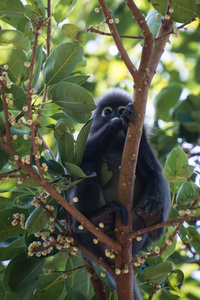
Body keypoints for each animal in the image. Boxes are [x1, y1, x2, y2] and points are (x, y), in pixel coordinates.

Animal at [67, 88, 170, 298]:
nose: (116, 114)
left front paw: (133, 122)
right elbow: (76, 162)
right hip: (81, 228)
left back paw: (151, 217)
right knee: (87, 168)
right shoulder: (84, 136)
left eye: (120, 108)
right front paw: (116, 123)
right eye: (107, 112)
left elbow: (153, 170)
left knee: (157, 177)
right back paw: (97, 218)